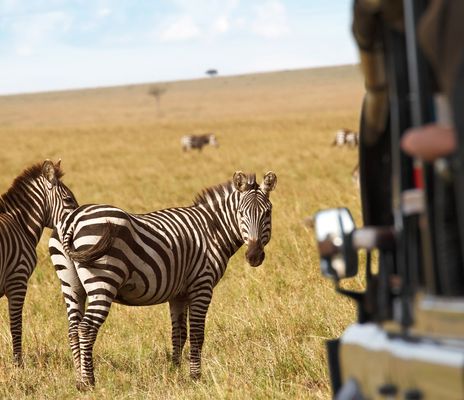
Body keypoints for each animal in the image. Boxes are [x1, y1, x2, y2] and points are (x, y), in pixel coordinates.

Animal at [49, 170, 278, 390]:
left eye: (267, 213)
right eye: (241, 213)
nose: (254, 256)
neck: (212, 230)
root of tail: (73, 219)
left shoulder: (178, 294)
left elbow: (179, 334)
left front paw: (175, 372)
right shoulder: (202, 285)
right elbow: (197, 333)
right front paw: (195, 377)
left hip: (71, 285)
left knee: (73, 329)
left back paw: (79, 380)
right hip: (103, 280)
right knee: (86, 328)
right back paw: (89, 382)